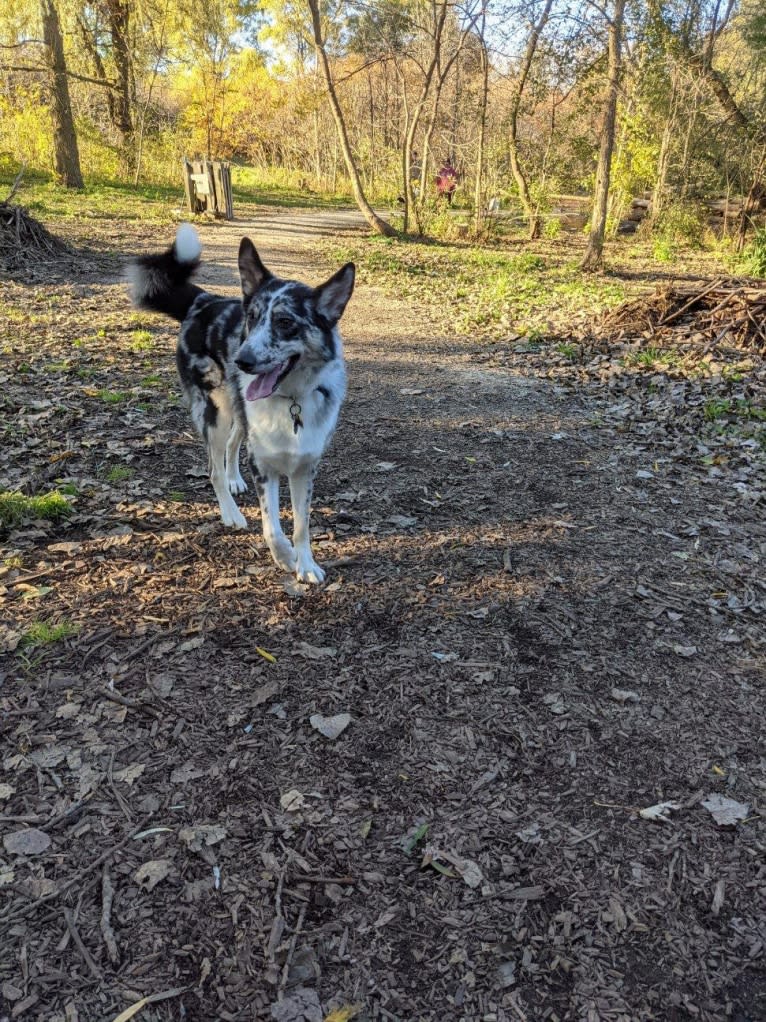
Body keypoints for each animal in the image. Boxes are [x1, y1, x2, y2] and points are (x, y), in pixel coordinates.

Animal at [129, 227, 357, 588]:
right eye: (251, 318)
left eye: (284, 322)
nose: (242, 360)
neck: (291, 400)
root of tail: (203, 302)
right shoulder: (263, 466)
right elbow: (272, 528)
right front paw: (286, 557)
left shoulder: (305, 468)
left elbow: (301, 525)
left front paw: (306, 564)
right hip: (215, 413)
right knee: (214, 468)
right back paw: (231, 512)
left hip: (237, 410)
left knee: (234, 445)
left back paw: (235, 479)